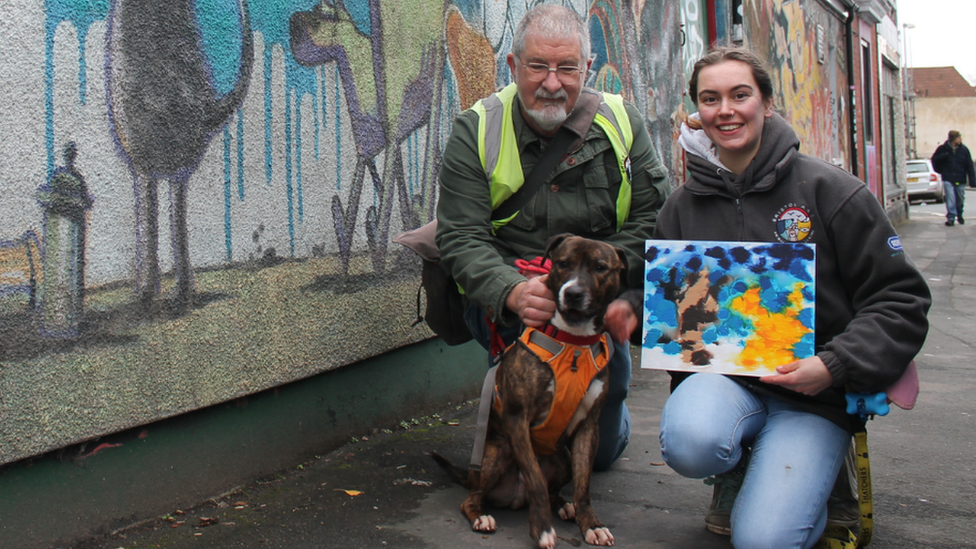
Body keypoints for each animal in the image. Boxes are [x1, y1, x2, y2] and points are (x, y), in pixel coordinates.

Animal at [432, 233, 624, 544]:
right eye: (563, 263)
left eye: (600, 267)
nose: (572, 293)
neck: (572, 343)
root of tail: (514, 497)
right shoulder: (517, 418)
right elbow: (535, 478)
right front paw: (542, 527)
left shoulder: (588, 427)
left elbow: (583, 486)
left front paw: (591, 524)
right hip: (498, 453)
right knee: (472, 498)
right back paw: (482, 516)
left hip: (562, 459)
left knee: (554, 488)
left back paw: (564, 505)